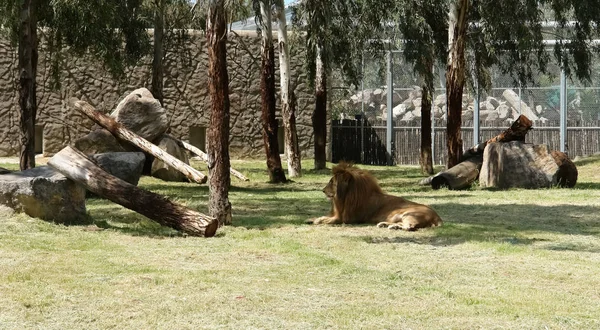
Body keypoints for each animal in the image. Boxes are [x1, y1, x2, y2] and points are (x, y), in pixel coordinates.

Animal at [308, 162, 442, 229]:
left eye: (331, 182)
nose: (323, 190)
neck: (344, 197)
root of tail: (437, 217)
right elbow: (324, 216)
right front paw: (311, 219)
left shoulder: (347, 218)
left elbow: (329, 219)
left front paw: (318, 220)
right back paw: (385, 225)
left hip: (409, 214)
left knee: (410, 226)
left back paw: (391, 227)